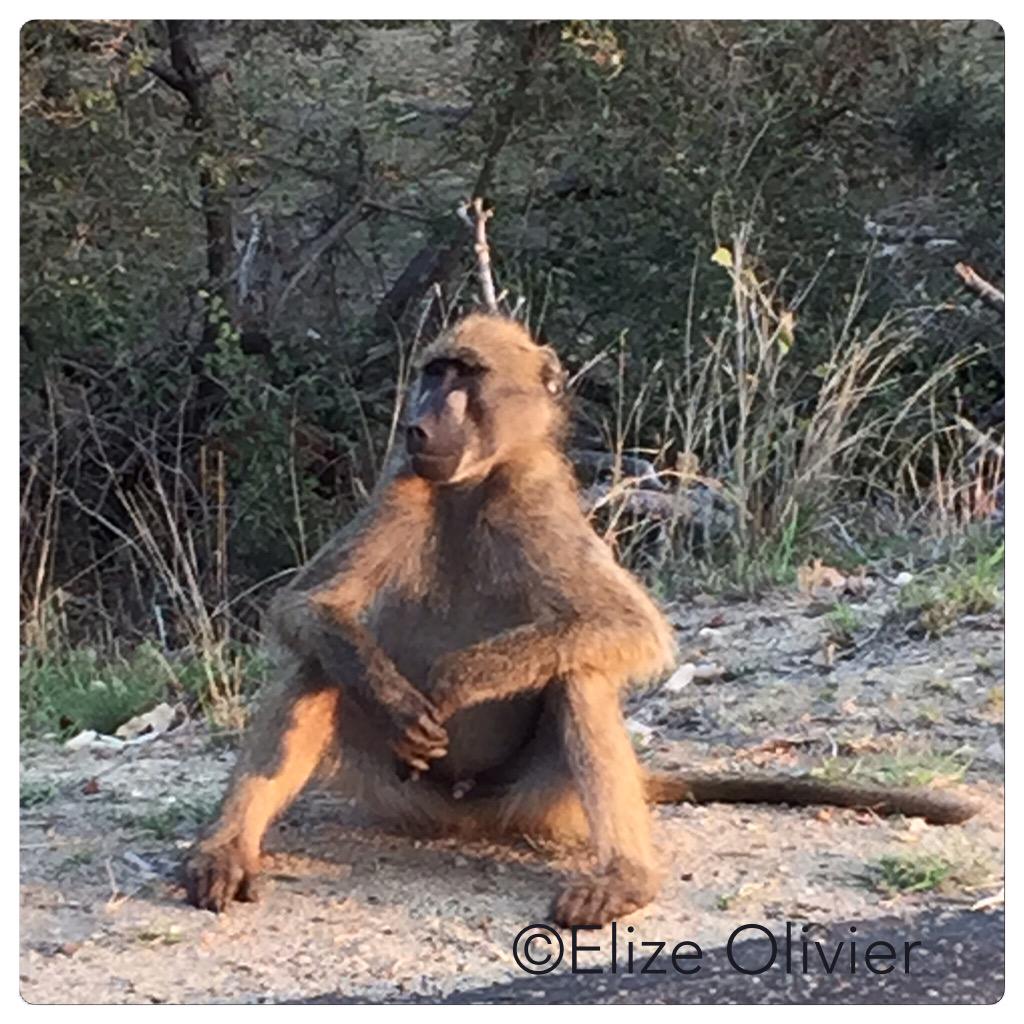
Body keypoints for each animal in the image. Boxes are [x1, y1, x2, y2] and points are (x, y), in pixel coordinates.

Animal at [183, 313, 979, 926]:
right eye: (433, 372)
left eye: (464, 375)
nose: (417, 425)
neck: (473, 486)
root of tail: (462, 820)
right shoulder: (400, 487)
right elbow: (306, 607)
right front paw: (399, 697)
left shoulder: (537, 505)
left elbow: (629, 627)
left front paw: (455, 679)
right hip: (396, 790)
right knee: (319, 659)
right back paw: (226, 850)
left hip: (536, 799)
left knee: (579, 674)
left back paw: (624, 878)